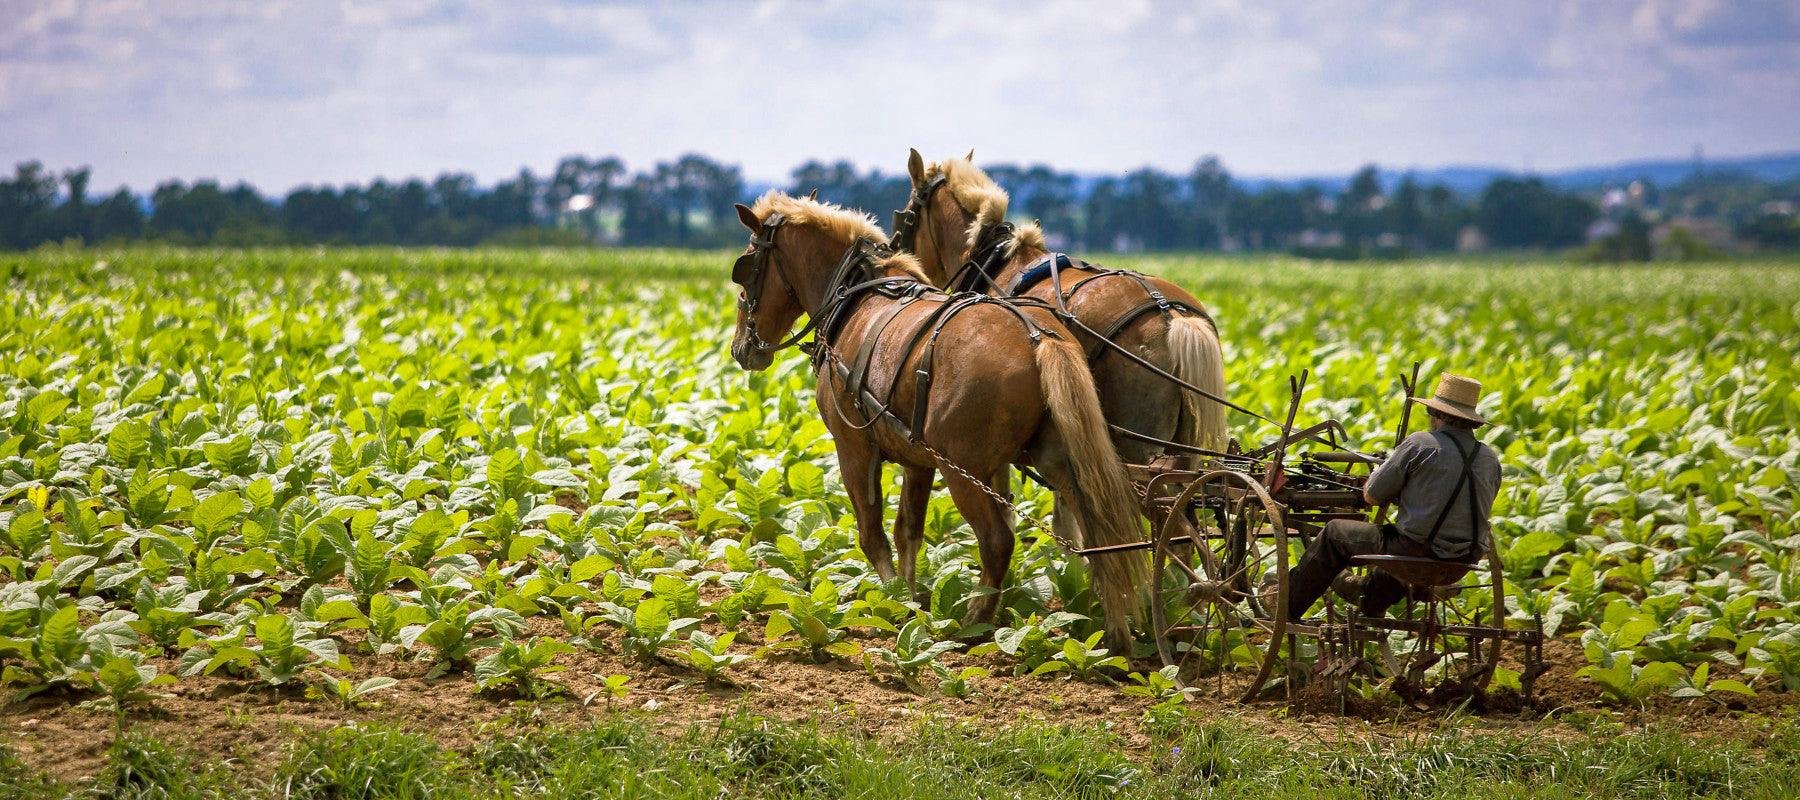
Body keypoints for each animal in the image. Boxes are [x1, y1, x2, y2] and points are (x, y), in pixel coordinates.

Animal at [723, 190, 1144, 648]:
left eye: (746, 270)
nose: (741, 348)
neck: (855, 297)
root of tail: (1039, 337)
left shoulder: (853, 447)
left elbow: (873, 535)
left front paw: (891, 599)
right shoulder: (916, 458)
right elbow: (908, 530)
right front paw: (911, 602)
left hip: (963, 472)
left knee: (998, 541)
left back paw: (976, 620)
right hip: (1060, 465)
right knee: (1101, 539)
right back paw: (1115, 631)